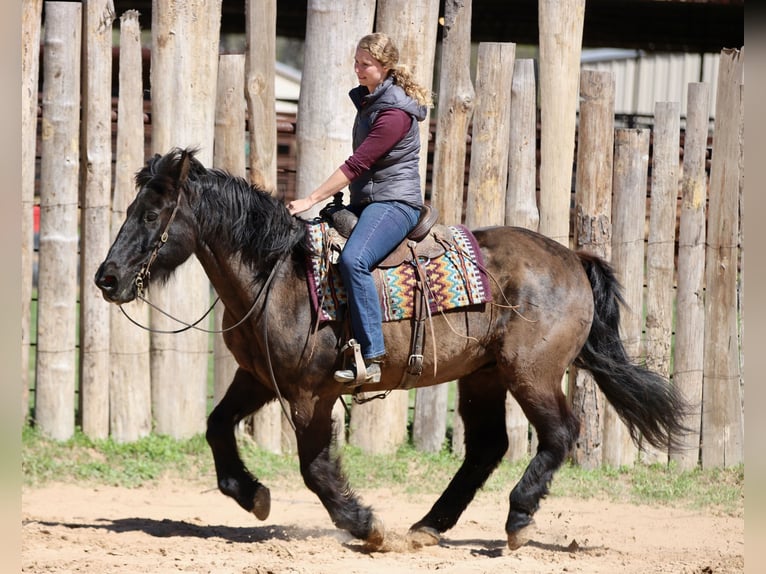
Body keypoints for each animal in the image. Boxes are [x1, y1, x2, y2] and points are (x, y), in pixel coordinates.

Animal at [95, 147, 689, 551]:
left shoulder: (310, 395)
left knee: (560, 432)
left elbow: (315, 469)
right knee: (486, 447)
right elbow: (217, 427)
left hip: (531, 374)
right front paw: (252, 495)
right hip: (483, 376)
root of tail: (572, 259)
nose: (107, 278)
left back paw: (517, 519)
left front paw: (366, 526)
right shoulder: (259, 379)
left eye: (151, 215)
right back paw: (428, 526)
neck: (277, 276)